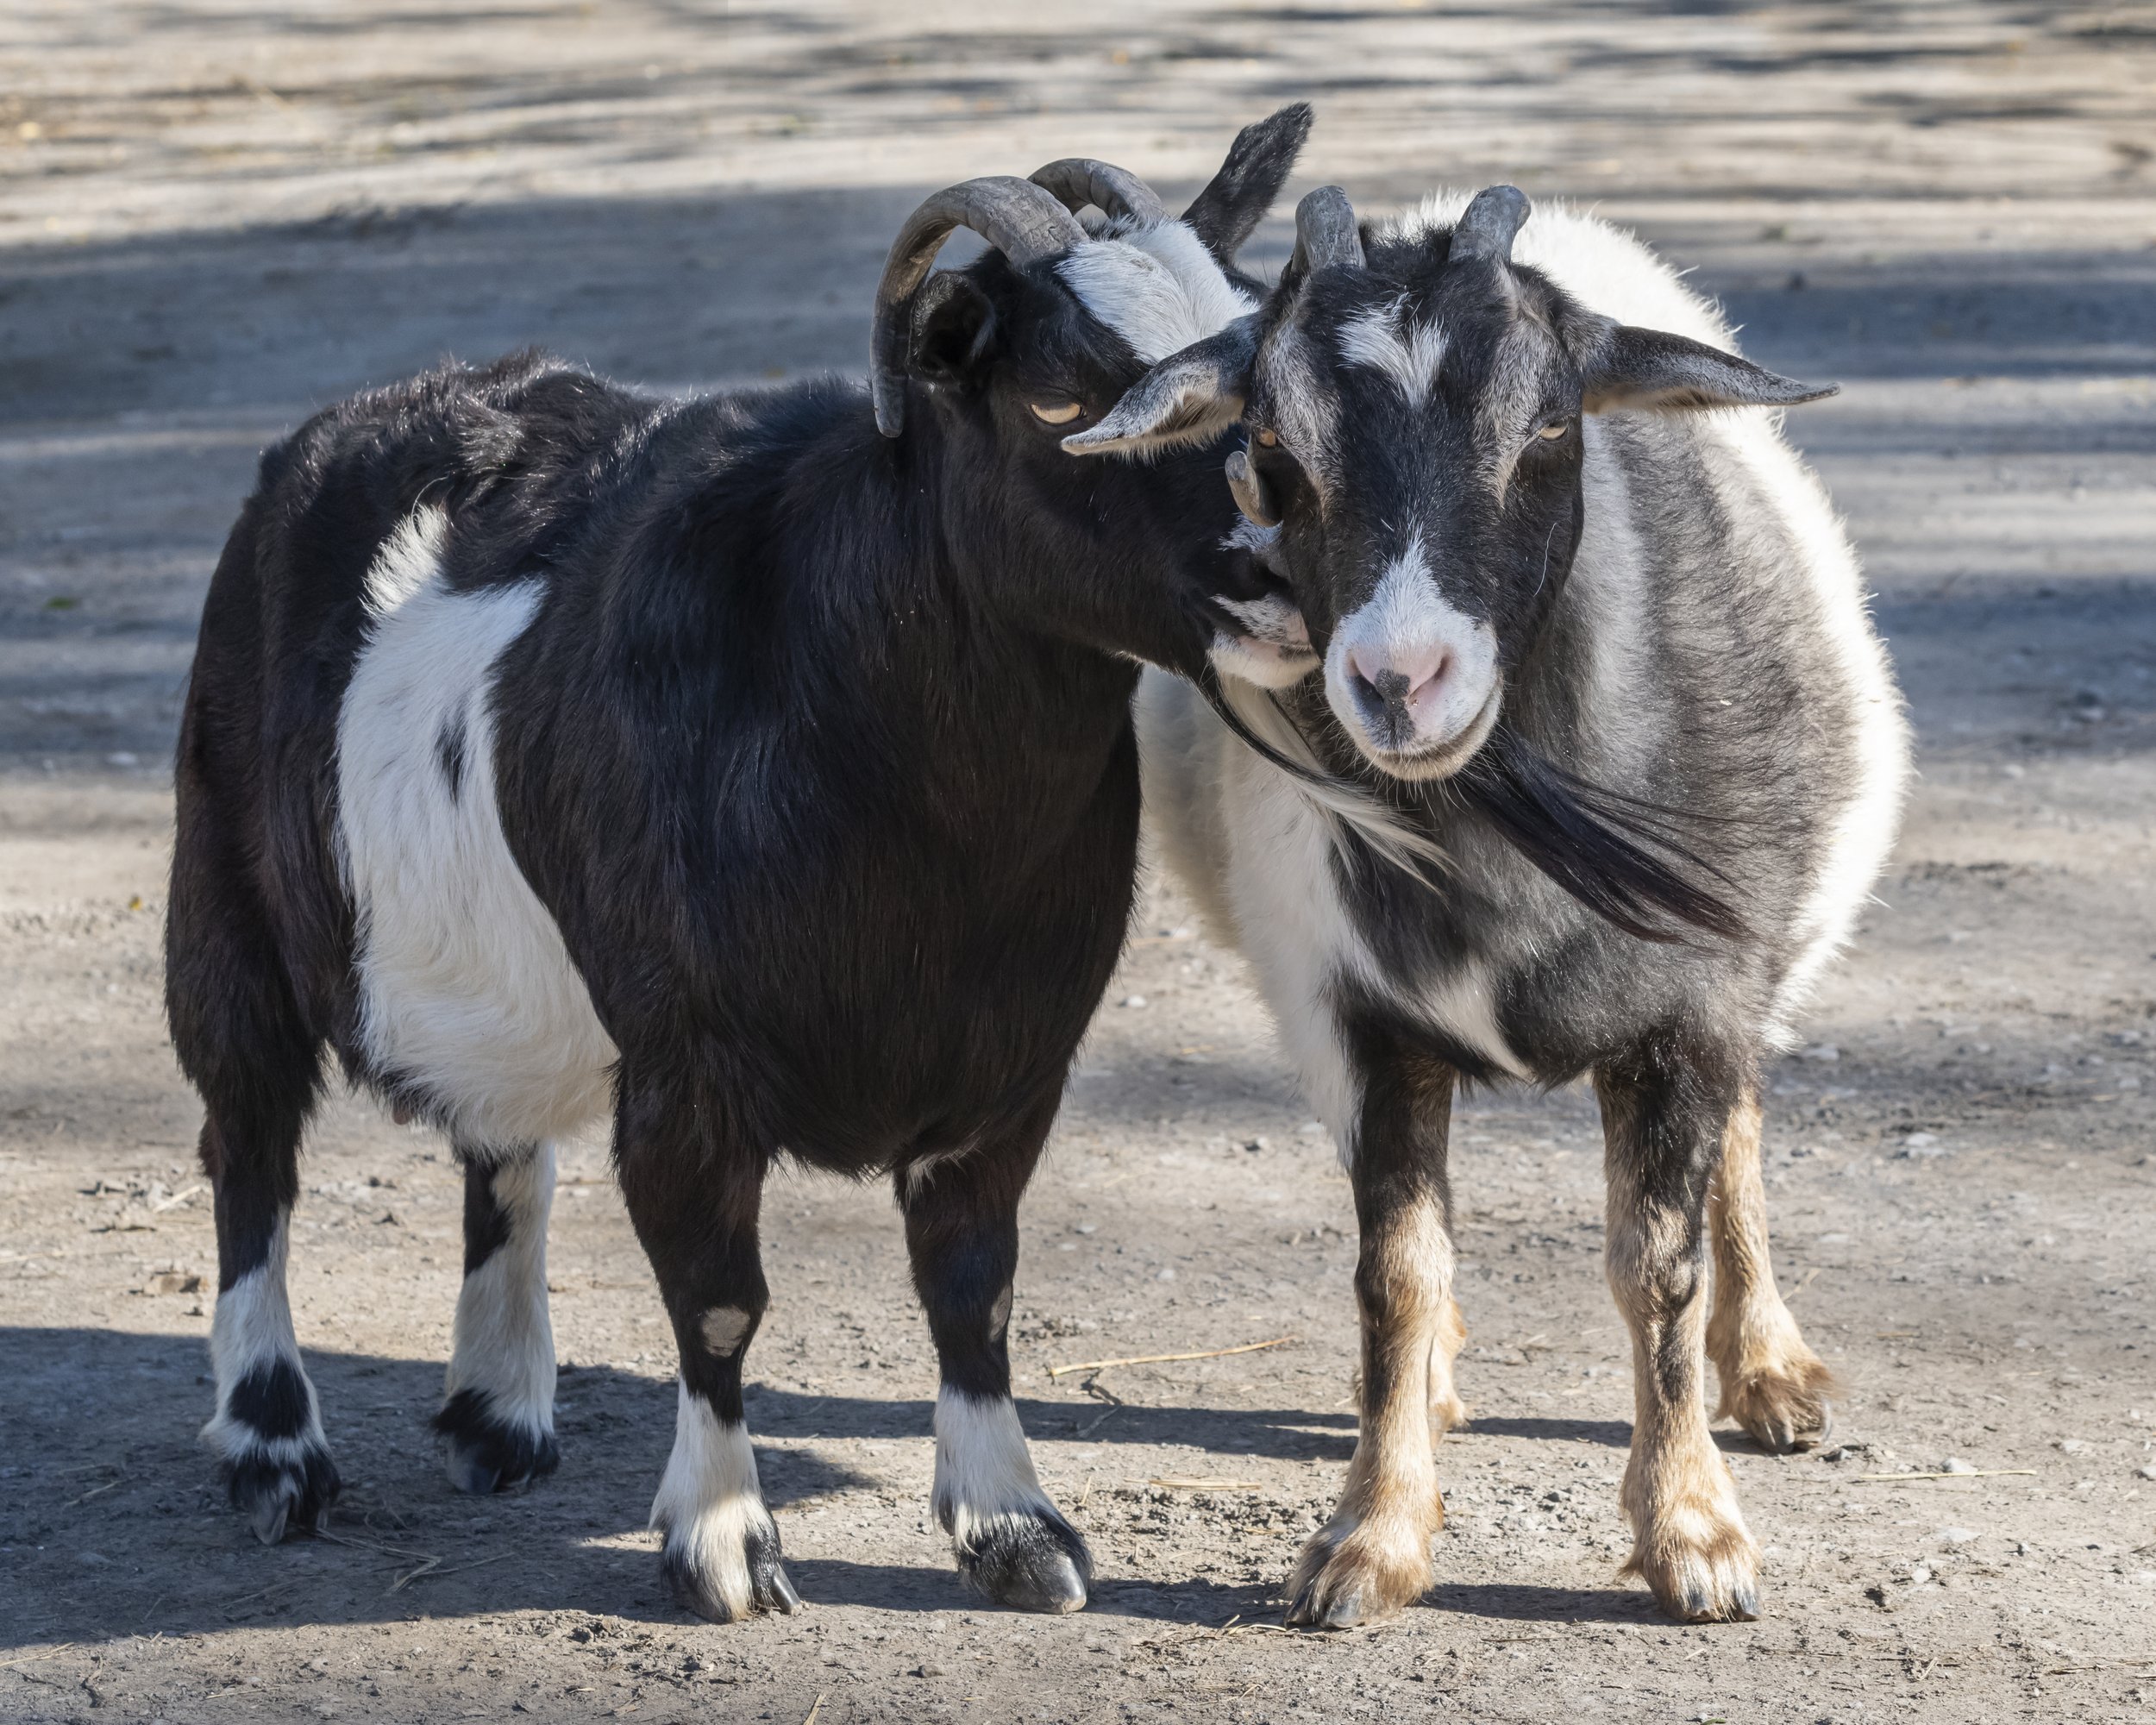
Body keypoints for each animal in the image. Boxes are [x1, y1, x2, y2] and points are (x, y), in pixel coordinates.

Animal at [164, 104, 1311, 1622]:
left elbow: (976, 1287)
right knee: (247, 1148)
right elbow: (717, 1299)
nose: (1285, 562)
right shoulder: (687, 1063)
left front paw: (1016, 1531)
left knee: (498, 1143)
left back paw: (496, 1416)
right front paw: (721, 1545)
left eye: (1252, 345)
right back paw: (274, 1450)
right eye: (1063, 404)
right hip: (222, 893)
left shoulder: (1016, 1057)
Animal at [1074, 188, 1906, 1630]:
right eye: (1271, 441)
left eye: (1554, 422)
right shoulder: (1358, 1021)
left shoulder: (1691, 1006)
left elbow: (1657, 1264)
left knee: (1745, 1128)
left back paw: (1772, 1374)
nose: (1402, 680)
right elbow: (1396, 1273)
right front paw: (1369, 1539)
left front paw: (1696, 1538)